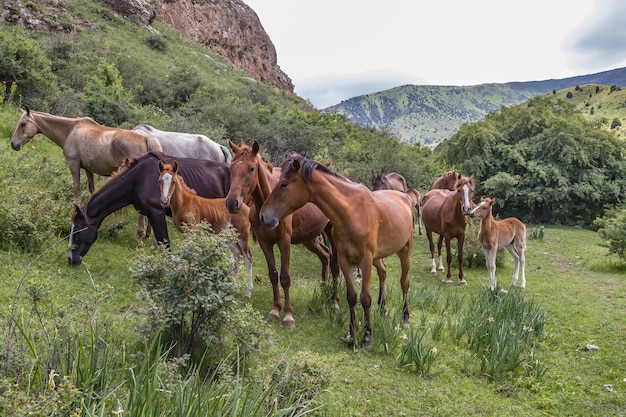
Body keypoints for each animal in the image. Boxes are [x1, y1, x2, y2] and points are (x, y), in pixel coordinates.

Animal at [10, 105, 161, 201]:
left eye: (23, 124)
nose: (13, 144)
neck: (70, 131)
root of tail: (146, 139)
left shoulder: (74, 164)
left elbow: (76, 188)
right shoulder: (89, 169)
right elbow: (92, 189)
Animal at [68, 153, 229, 266]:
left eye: (78, 230)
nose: (70, 258)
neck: (138, 179)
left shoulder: (157, 213)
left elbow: (165, 244)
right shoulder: (150, 214)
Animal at [157, 161, 252, 298]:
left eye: (173, 181)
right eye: (160, 181)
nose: (164, 201)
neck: (184, 203)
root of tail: (246, 207)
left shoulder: (193, 231)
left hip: (242, 235)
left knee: (247, 257)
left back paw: (248, 292)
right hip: (229, 236)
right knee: (237, 254)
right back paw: (229, 283)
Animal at [223, 141, 334, 328]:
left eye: (251, 168)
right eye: (231, 168)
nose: (232, 203)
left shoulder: (284, 242)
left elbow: (285, 278)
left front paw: (288, 316)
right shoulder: (265, 242)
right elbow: (274, 275)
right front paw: (275, 310)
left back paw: (335, 302)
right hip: (309, 238)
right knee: (325, 255)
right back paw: (325, 289)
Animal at [256, 154, 412, 348]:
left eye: (283, 184)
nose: (263, 216)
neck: (352, 212)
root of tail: (405, 197)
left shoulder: (365, 261)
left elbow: (365, 298)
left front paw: (367, 337)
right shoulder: (345, 259)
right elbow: (352, 296)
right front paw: (352, 334)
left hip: (405, 251)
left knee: (404, 282)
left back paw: (405, 319)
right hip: (378, 256)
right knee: (383, 271)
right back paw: (382, 310)